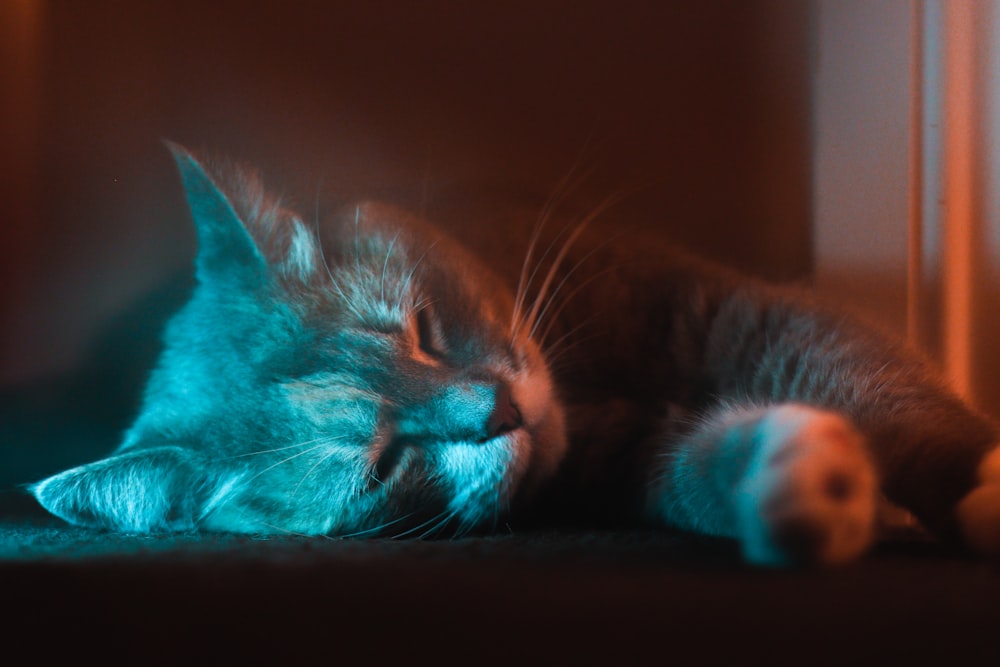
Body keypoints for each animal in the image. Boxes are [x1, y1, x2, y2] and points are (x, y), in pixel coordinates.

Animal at [25, 142, 1000, 568]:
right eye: (381, 463)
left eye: (423, 326)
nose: (497, 410)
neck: (596, 392)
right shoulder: (631, 462)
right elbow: (702, 470)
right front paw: (796, 479)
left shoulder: (721, 305)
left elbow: (877, 385)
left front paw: (974, 485)